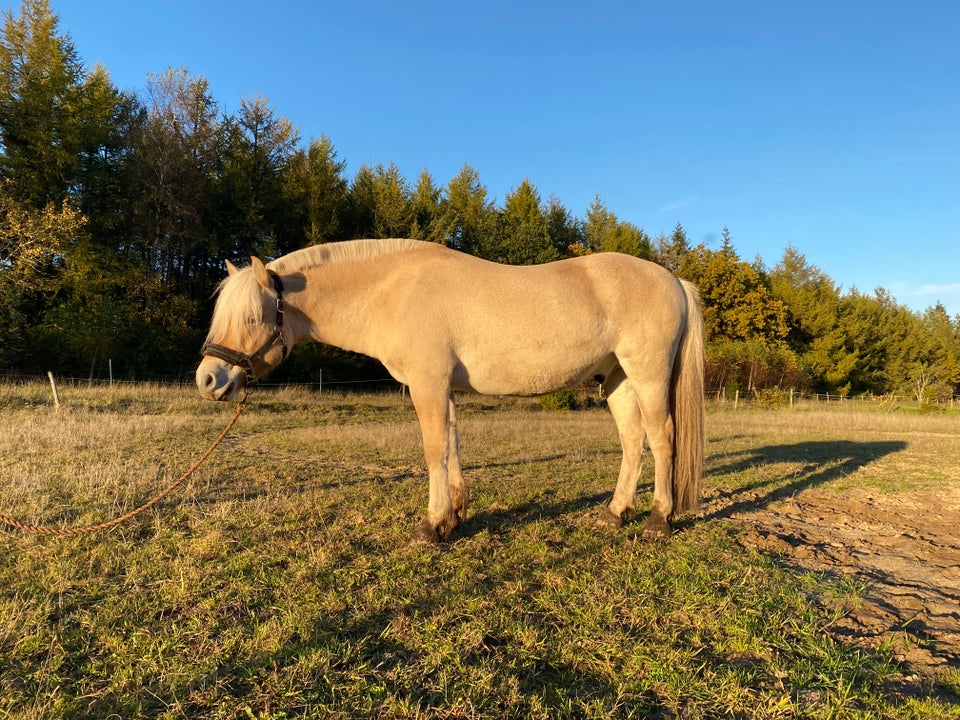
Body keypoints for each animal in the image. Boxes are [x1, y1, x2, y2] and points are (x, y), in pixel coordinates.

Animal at [195, 239, 704, 544]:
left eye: (252, 317)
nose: (207, 379)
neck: (393, 291)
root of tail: (674, 279)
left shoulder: (427, 385)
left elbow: (433, 449)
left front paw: (433, 525)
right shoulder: (446, 389)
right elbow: (453, 445)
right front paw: (456, 513)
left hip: (647, 375)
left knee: (661, 439)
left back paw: (659, 519)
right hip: (617, 379)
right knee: (632, 442)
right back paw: (615, 513)